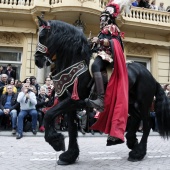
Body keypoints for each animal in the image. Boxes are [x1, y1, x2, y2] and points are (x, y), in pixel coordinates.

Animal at [33, 16, 170, 165]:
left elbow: (49, 115)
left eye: (42, 36)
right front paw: (69, 155)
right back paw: (130, 141)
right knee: (136, 118)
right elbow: (71, 128)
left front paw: (56, 141)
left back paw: (138, 153)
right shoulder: (68, 102)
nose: (37, 60)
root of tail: (151, 76)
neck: (75, 63)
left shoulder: (76, 100)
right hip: (129, 102)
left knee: (147, 123)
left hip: (143, 103)